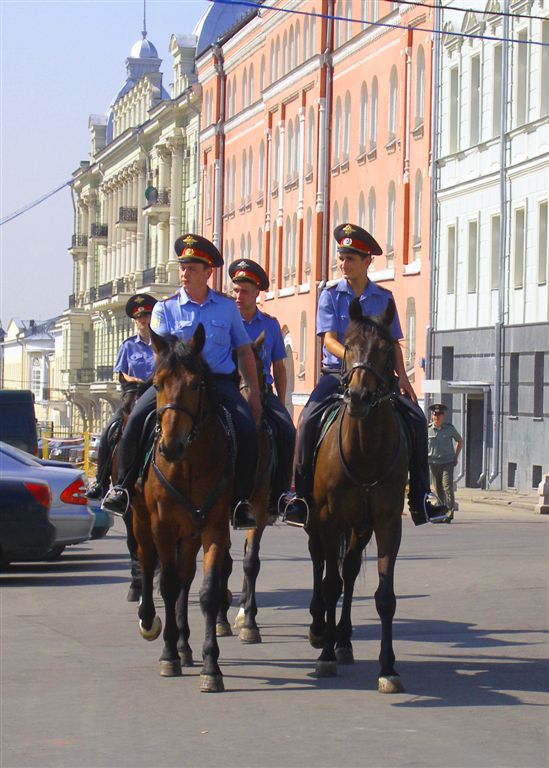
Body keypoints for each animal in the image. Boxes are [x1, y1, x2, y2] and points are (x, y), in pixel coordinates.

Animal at [135, 328, 235, 692]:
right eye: (158, 382)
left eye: (194, 384)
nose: (170, 446)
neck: (188, 464)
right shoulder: (161, 526)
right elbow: (166, 584)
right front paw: (167, 655)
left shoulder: (214, 527)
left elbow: (206, 592)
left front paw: (211, 665)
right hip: (140, 521)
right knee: (148, 564)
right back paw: (151, 623)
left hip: (190, 534)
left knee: (185, 576)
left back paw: (184, 645)